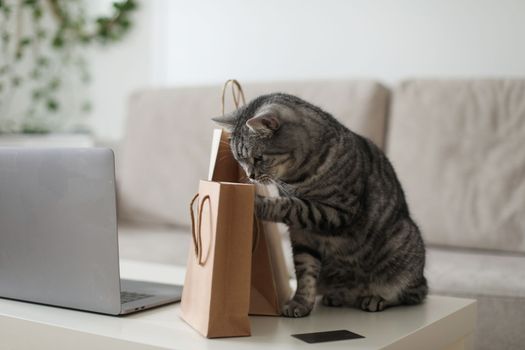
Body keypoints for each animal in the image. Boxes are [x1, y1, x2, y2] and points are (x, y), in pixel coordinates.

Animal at [212, 92, 426, 318]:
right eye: (240, 160)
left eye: (258, 158)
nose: (250, 176)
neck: (296, 180)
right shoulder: (301, 234)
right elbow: (305, 270)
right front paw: (300, 303)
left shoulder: (338, 210)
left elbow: (291, 206)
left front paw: (258, 202)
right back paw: (337, 296)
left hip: (403, 243)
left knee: (412, 293)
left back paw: (376, 298)